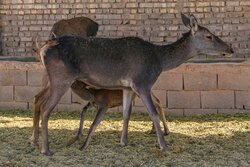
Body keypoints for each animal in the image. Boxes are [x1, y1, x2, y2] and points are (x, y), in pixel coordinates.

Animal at [32, 13, 232, 155]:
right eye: (209, 36)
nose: (230, 49)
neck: (159, 61)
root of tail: (42, 48)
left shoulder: (127, 87)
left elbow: (126, 113)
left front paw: (123, 141)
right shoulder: (142, 83)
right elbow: (153, 112)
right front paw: (163, 145)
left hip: (52, 79)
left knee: (38, 100)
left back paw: (35, 141)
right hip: (62, 78)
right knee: (46, 107)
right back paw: (45, 149)